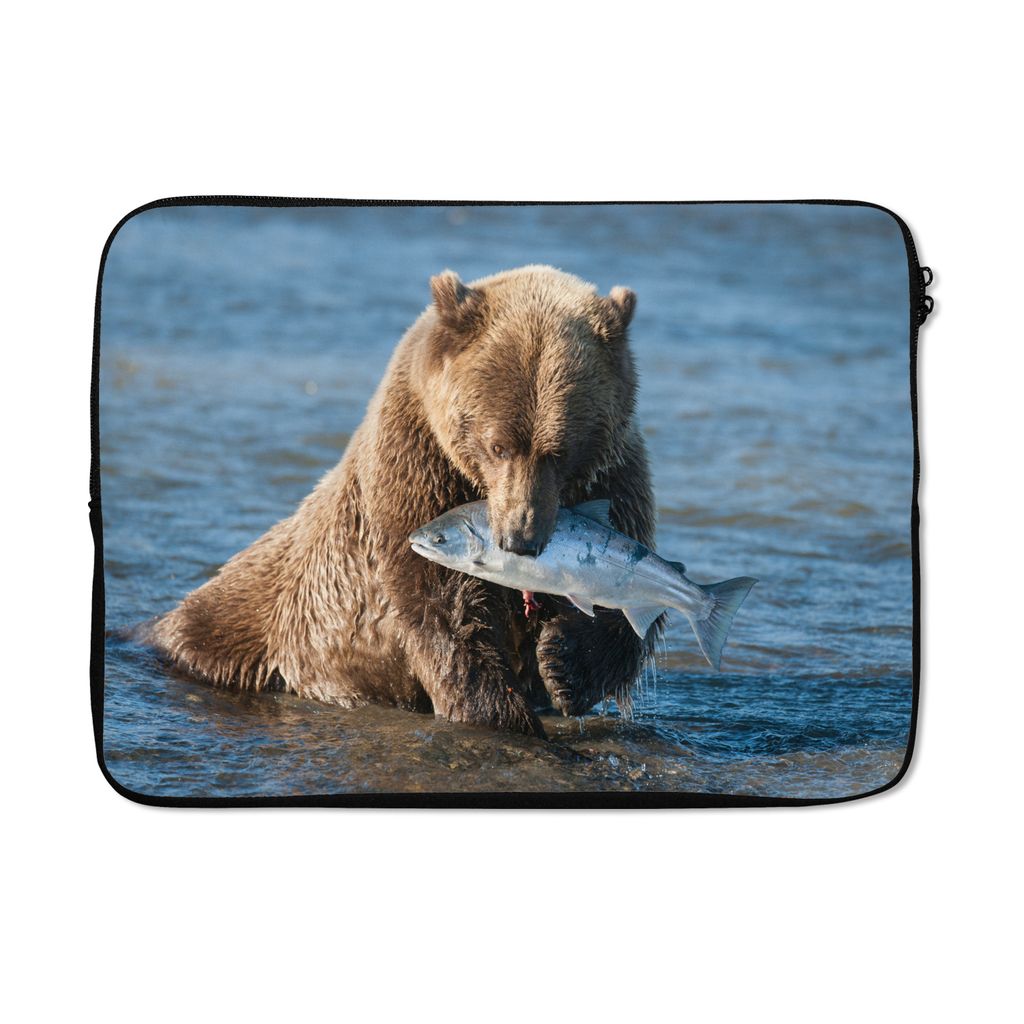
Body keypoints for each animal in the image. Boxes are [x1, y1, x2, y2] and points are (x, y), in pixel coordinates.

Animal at [149, 265, 657, 736]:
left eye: (559, 451)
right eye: (498, 445)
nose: (521, 538)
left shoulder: (613, 478)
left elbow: (628, 601)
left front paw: (562, 662)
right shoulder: (417, 467)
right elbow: (444, 606)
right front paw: (500, 712)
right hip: (256, 620)